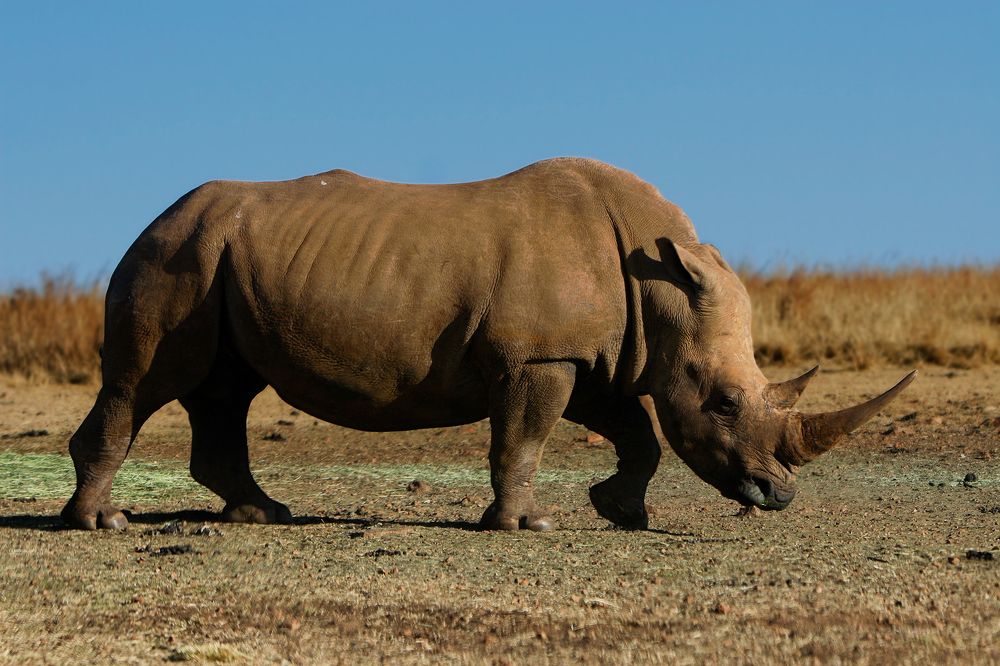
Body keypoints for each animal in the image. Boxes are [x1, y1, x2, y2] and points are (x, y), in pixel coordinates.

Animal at [61, 158, 915, 531]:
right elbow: (523, 442)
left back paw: (264, 513)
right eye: (728, 402)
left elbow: (637, 434)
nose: (780, 496)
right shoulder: (539, 356)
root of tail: (157, 216)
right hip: (175, 254)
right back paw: (103, 525)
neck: (661, 283)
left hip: (217, 257)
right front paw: (524, 526)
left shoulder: (593, 356)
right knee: (147, 381)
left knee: (225, 389)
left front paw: (620, 512)